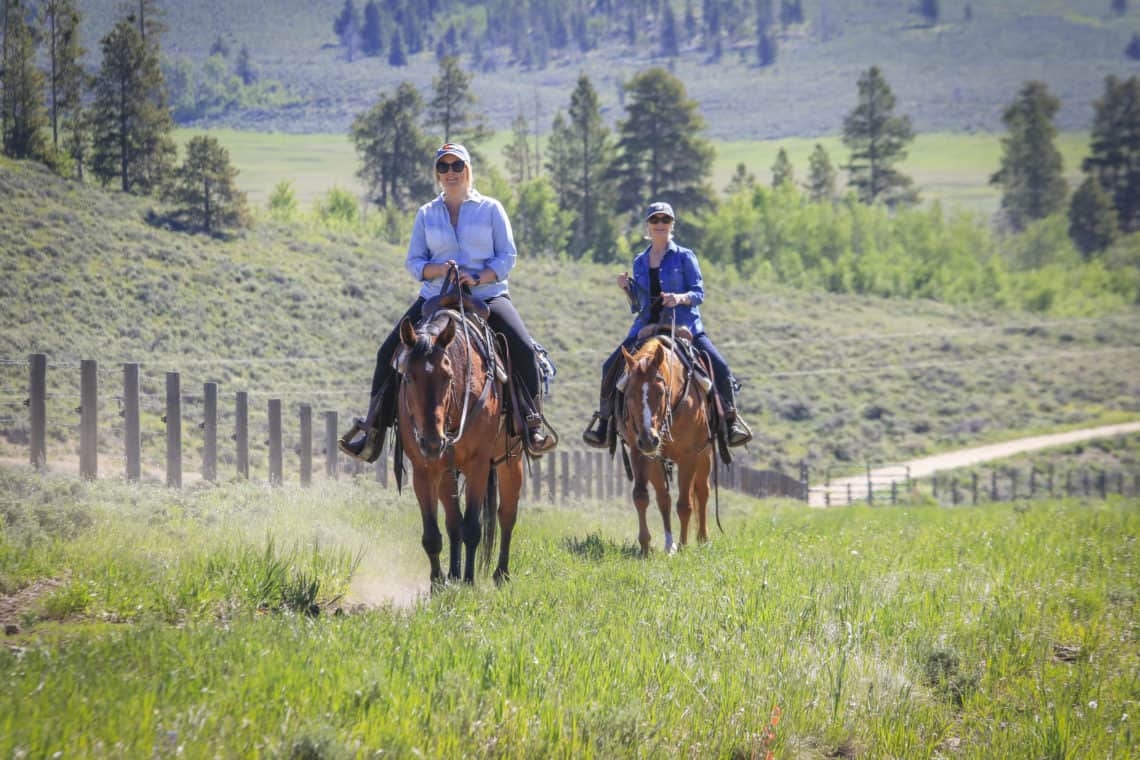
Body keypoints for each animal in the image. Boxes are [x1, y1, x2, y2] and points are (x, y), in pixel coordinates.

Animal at [396, 293, 524, 587]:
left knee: (506, 515)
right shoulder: (425, 468)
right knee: (454, 522)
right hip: (448, 471)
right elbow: (435, 533)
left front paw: (468, 582)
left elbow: (473, 527)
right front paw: (438, 584)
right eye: (407, 376)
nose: (432, 442)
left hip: (511, 460)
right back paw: (453, 575)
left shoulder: (478, 464)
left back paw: (500, 574)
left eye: (448, 376)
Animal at [620, 339, 706, 558]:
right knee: (663, 498)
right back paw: (669, 544)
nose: (649, 439)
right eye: (629, 394)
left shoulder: (689, 456)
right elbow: (641, 496)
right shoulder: (639, 452)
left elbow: (685, 504)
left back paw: (703, 540)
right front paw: (644, 546)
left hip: (706, 455)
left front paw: (684, 546)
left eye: (660, 392)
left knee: (703, 492)